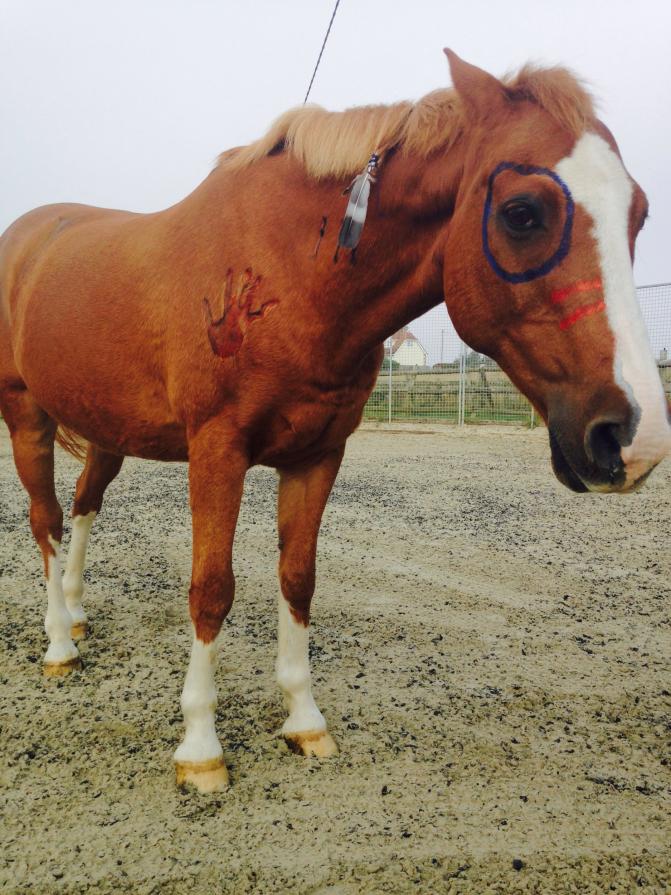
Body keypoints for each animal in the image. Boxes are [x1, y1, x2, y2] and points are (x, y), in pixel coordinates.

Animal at [0, 52, 668, 792]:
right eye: (522, 212)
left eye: (638, 213)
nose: (632, 438)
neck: (293, 270)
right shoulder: (217, 451)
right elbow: (211, 589)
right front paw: (200, 745)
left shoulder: (317, 454)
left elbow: (298, 577)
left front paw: (304, 719)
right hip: (25, 415)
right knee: (45, 519)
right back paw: (60, 643)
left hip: (107, 433)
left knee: (82, 508)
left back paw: (77, 611)